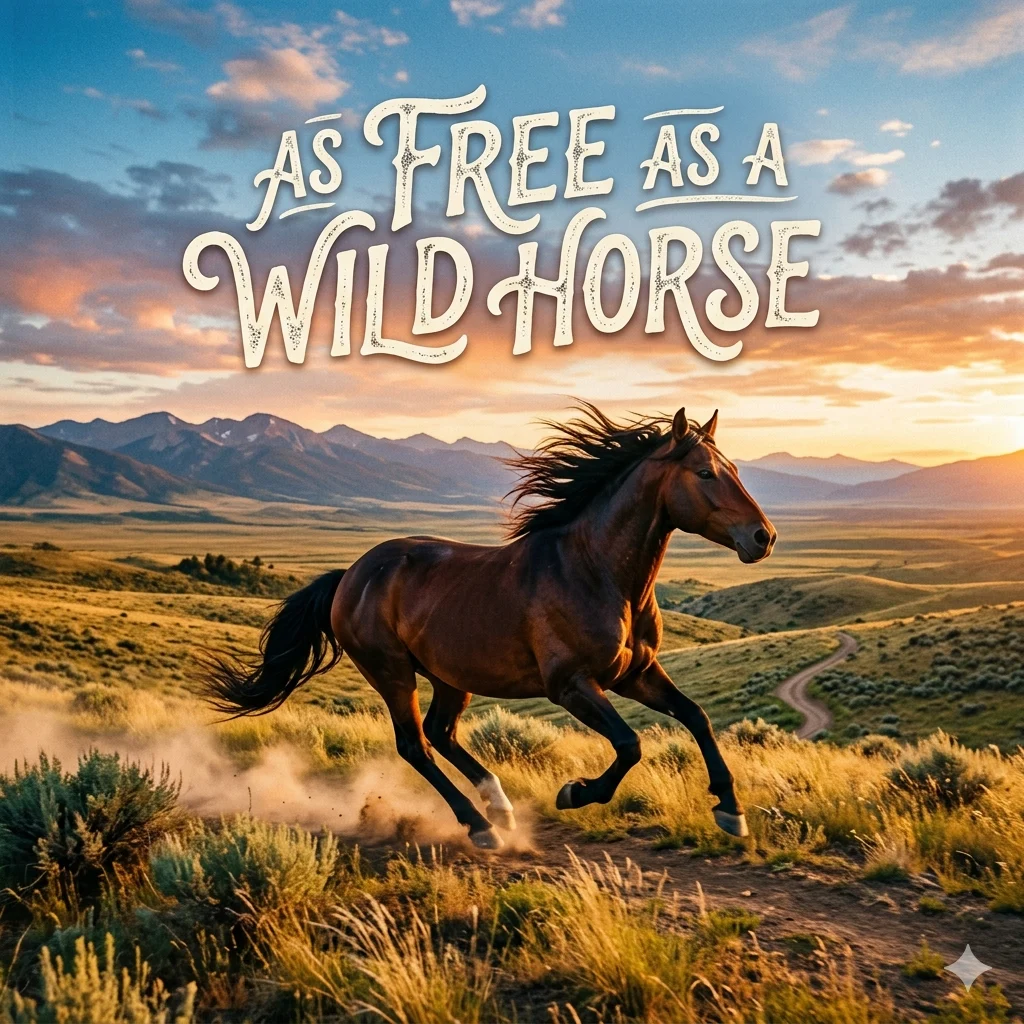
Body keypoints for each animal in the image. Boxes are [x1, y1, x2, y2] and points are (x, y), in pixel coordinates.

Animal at [202, 403, 777, 849]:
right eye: (704, 474)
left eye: (735, 468)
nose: (763, 537)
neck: (598, 572)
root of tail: (350, 575)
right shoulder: (572, 685)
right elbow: (630, 744)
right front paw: (574, 792)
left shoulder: (636, 673)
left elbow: (696, 716)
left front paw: (731, 811)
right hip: (392, 673)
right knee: (416, 745)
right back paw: (481, 827)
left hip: (449, 676)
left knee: (440, 732)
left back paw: (498, 806)